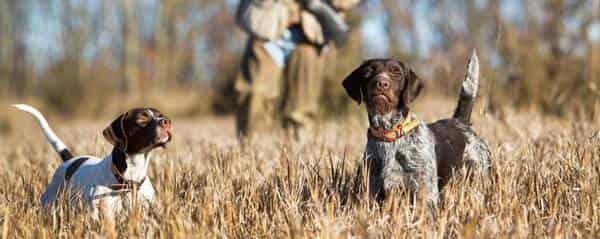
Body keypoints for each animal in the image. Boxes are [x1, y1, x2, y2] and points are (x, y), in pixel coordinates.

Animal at [13, 104, 171, 217]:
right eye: (141, 120)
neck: (129, 180)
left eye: (161, 116)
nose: (166, 122)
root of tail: (70, 160)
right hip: (49, 202)